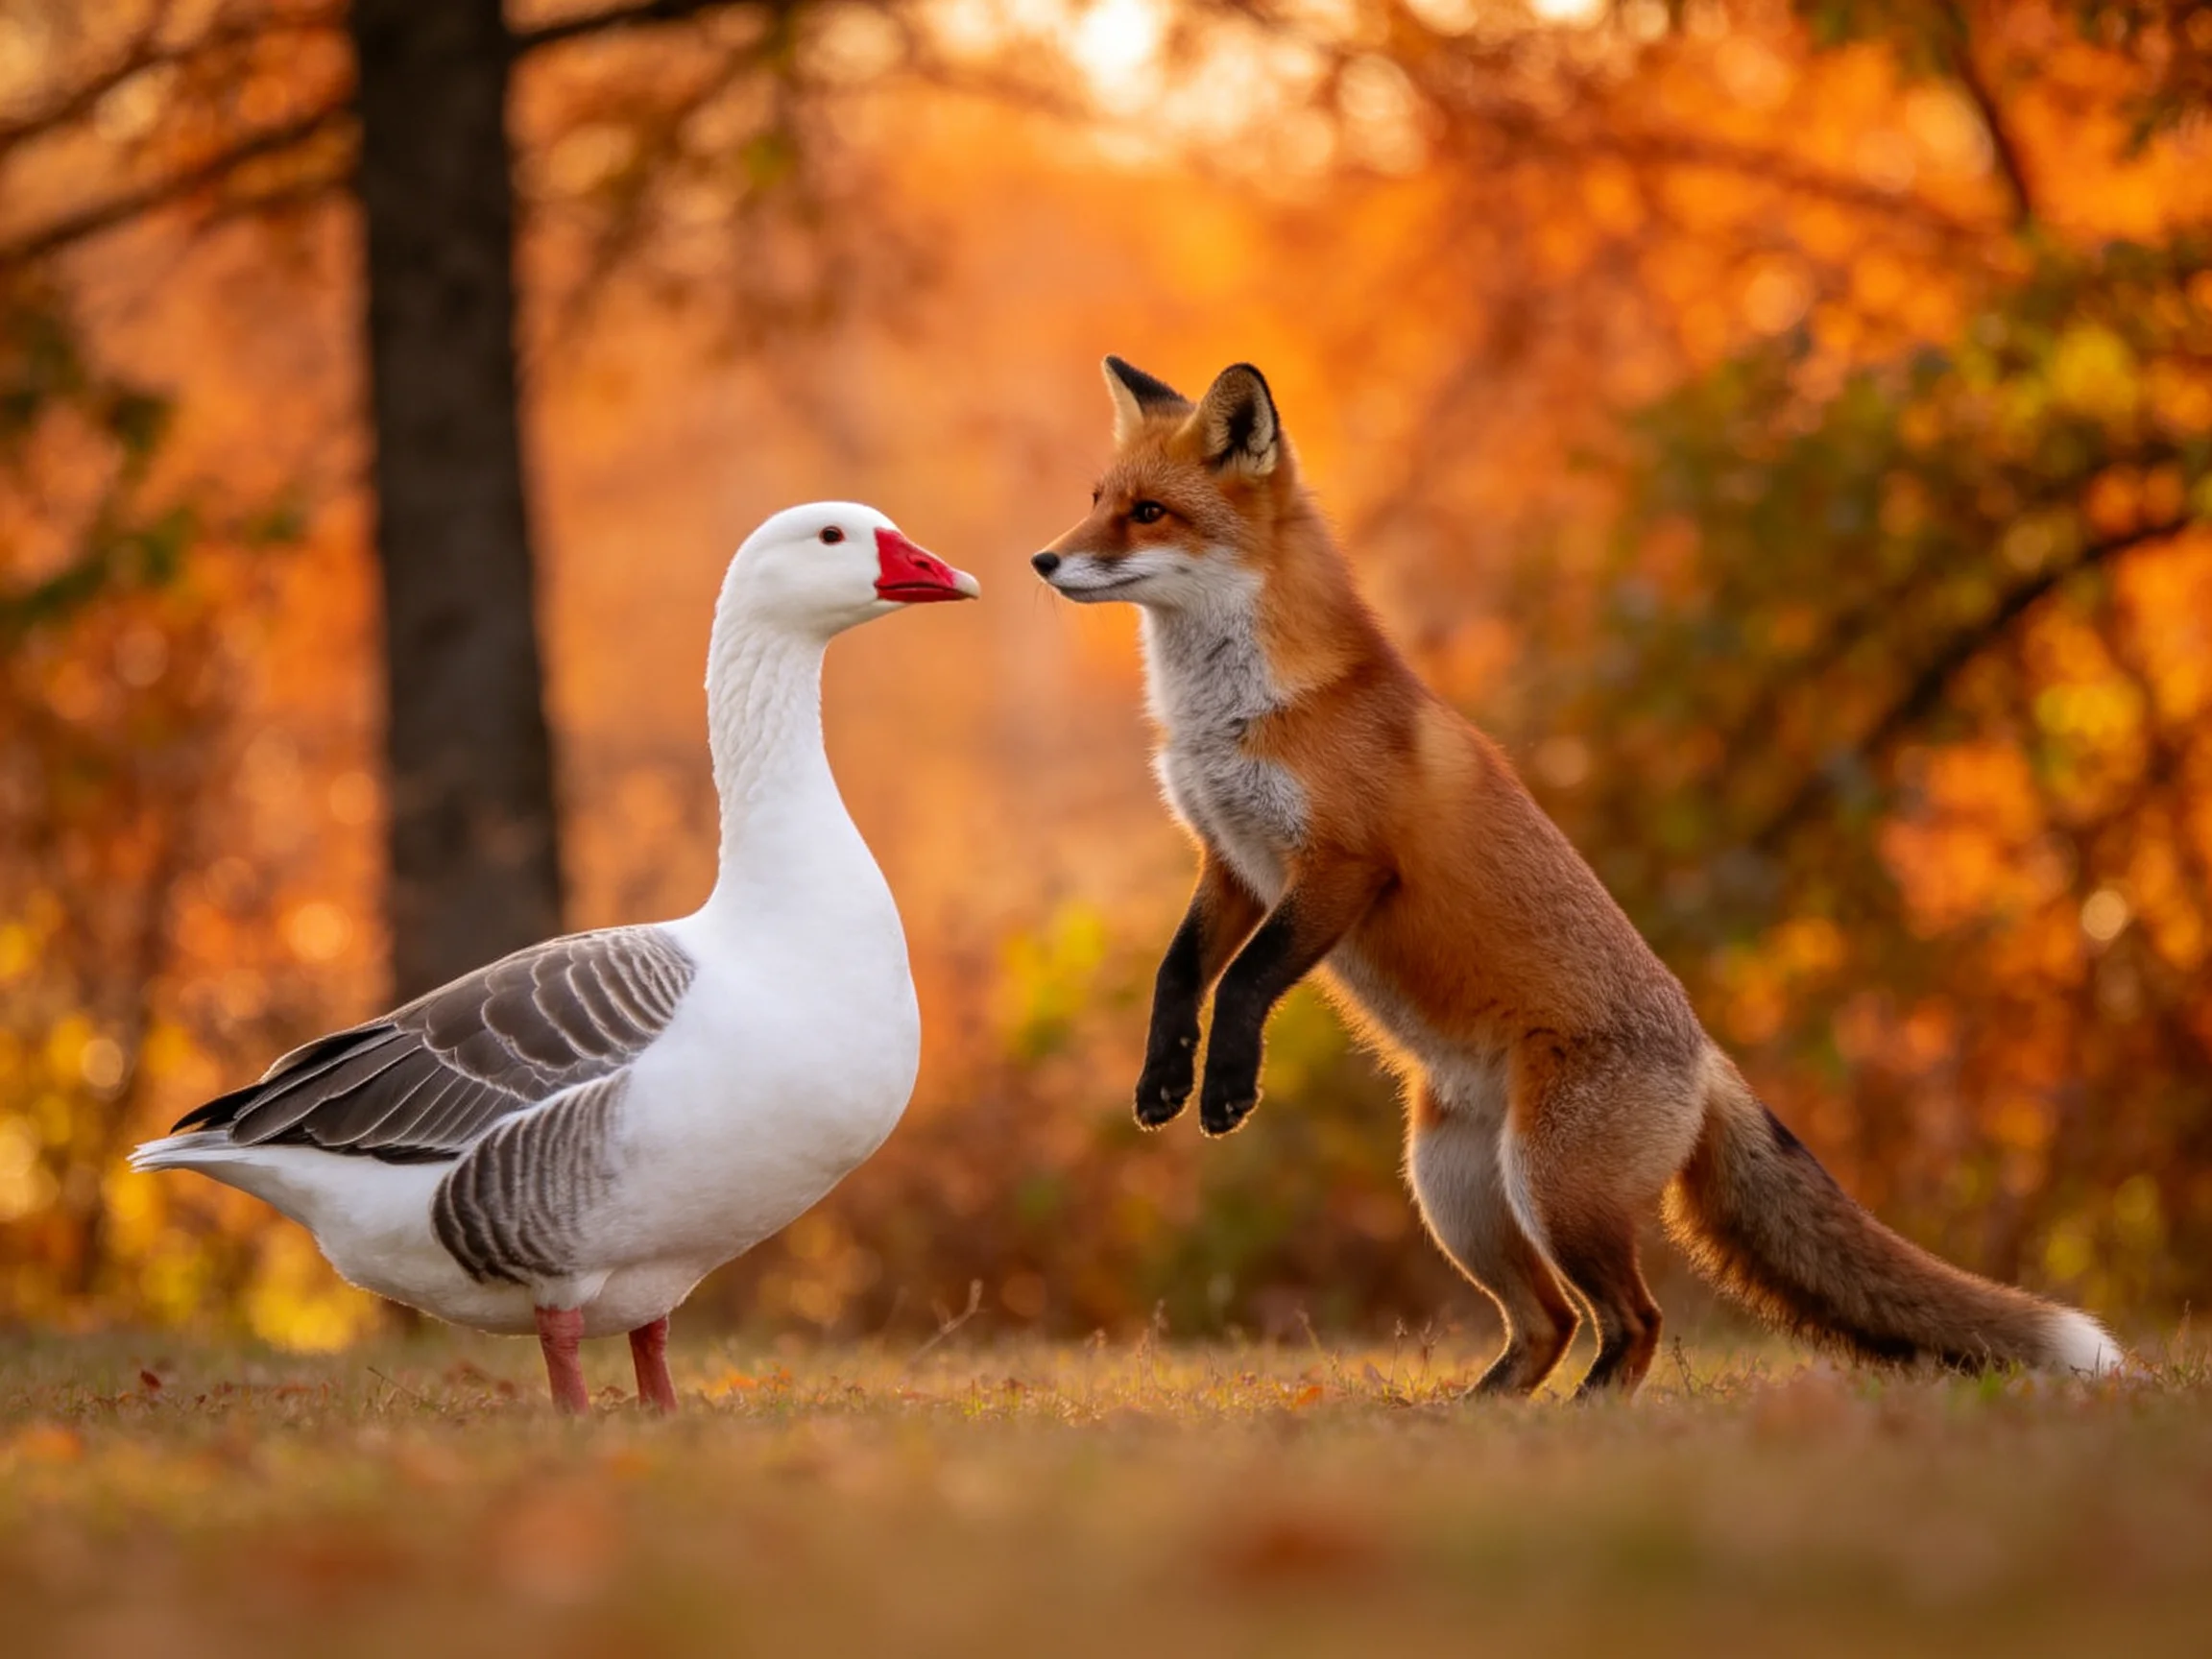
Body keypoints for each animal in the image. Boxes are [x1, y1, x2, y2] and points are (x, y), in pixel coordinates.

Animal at [1030, 354, 2123, 1397]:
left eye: (1148, 512)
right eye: (1096, 498)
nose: (1043, 559)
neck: (1241, 710)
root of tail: (1705, 1053)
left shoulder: (1343, 863)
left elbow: (1250, 981)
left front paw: (1225, 1087)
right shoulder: (1234, 862)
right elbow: (1180, 972)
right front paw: (1163, 1079)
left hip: (1551, 1190)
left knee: (1633, 1320)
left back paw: (1592, 1414)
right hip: (1457, 1193)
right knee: (1546, 1324)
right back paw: (1472, 1419)